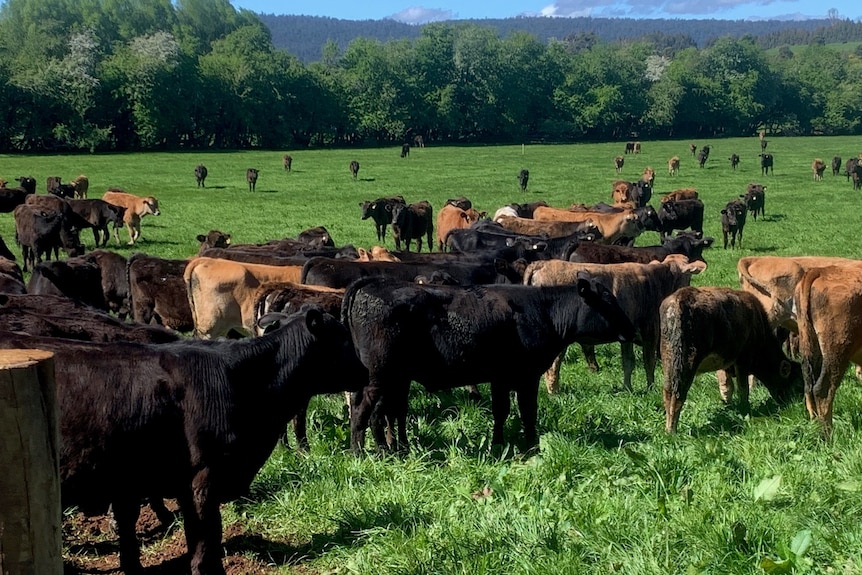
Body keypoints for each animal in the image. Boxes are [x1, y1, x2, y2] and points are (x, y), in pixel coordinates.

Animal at [342, 276, 636, 452]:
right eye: (607, 302)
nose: (631, 329)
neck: (543, 310)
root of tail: (374, 284)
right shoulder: (526, 377)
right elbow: (527, 412)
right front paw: (531, 446)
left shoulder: (500, 378)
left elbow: (501, 412)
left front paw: (499, 444)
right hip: (380, 377)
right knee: (366, 412)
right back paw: (366, 453)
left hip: (387, 378)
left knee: (376, 411)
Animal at [524, 255, 704, 392]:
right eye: (689, 275)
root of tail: (543, 263)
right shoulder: (650, 331)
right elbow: (649, 362)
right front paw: (650, 388)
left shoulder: (629, 335)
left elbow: (628, 362)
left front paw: (628, 388)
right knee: (553, 366)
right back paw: (554, 393)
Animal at [660, 286, 804, 432]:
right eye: (796, 383)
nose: (797, 403)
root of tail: (680, 300)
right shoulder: (743, 360)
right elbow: (743, 388)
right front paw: (745, 411)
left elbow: (727, 386)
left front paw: (728, 406)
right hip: (687, 363)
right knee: (678, 394)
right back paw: (672, 431)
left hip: (669, 361)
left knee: (668, 392)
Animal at [792, 266, 862, 436]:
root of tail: (820, 271)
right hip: (837, 353)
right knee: (823, 390)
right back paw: (828, 436)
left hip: (811, 346)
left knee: (809, 387)